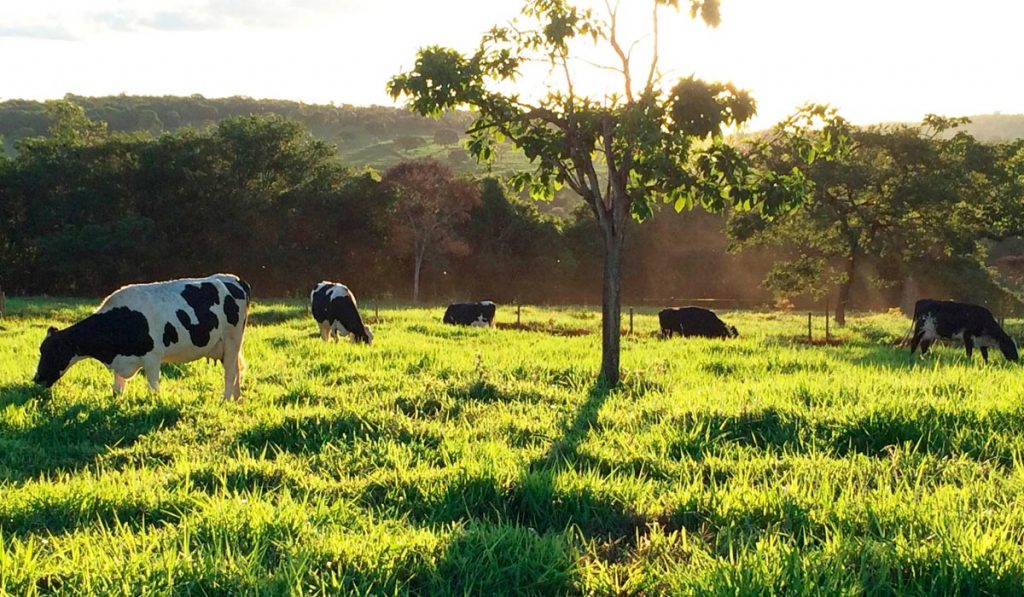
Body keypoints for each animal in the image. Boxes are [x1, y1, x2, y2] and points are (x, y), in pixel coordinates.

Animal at [33, 272, 249, 399]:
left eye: (53, 352)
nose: (36, 378)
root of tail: (235, 279)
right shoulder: (121, 361)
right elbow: (117, 389)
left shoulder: (153, 358)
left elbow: (153, 387)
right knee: (237, 369)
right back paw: (236, 399)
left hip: (232, 339)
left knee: (230, 372)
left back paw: (225, 400)